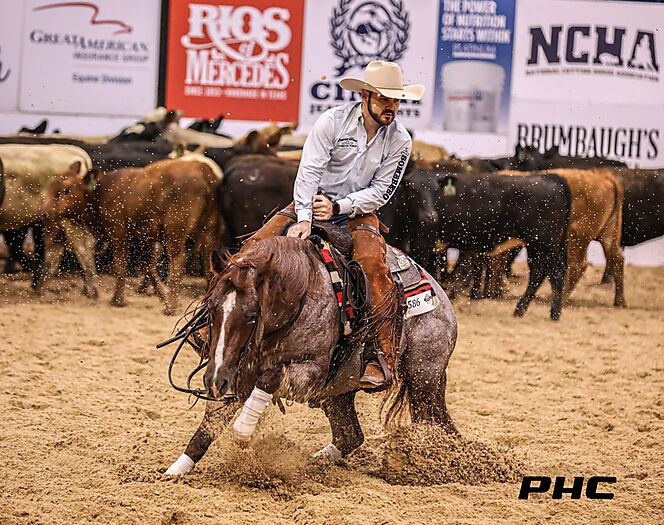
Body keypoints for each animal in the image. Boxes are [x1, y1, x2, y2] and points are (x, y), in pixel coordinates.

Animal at [42, 158, 222, 315]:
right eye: (51, 186)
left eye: (66, 190)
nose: (44, 212)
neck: (101, 193)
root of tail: (201, 168)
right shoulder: (145, 238)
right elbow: (148, 266)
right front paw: (162, 295)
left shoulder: (119, 234)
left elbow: (122, 265)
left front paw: (117, 300)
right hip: (208, 230)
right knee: (208, 259)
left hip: (175, 232)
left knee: (178, 261)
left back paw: (170, 307)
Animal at [164, 235, 458, 475]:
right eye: (212, 308)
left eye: (251, 315)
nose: (213, 381)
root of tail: (441, 298)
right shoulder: (234, 373)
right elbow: (207, 428)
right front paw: (175, 470)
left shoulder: (311, 372)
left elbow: (269, 379)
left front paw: (244, 431)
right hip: (340, 394)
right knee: (350, 435)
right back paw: (317, 461)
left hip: (424, 379)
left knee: (436, 427)